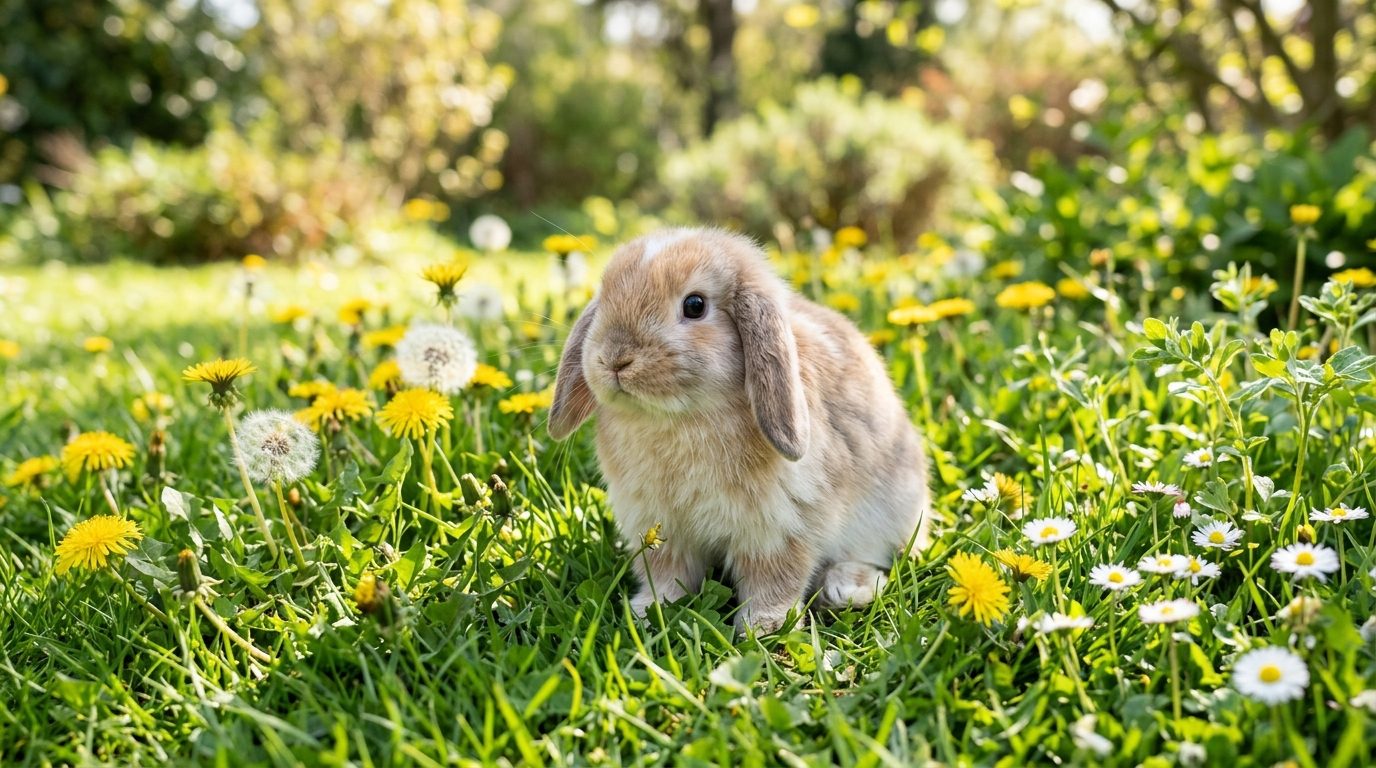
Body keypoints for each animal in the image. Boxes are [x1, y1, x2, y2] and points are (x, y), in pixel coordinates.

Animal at [548, 227, 931, 634]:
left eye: (695, 305)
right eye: (605, 297)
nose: (615, 359)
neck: (679, 417)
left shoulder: (779, 527)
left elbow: (775, 578)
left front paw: (764, 627)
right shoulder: (662, 529)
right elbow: (665, 574)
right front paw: (648, 611)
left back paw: (847, 590)